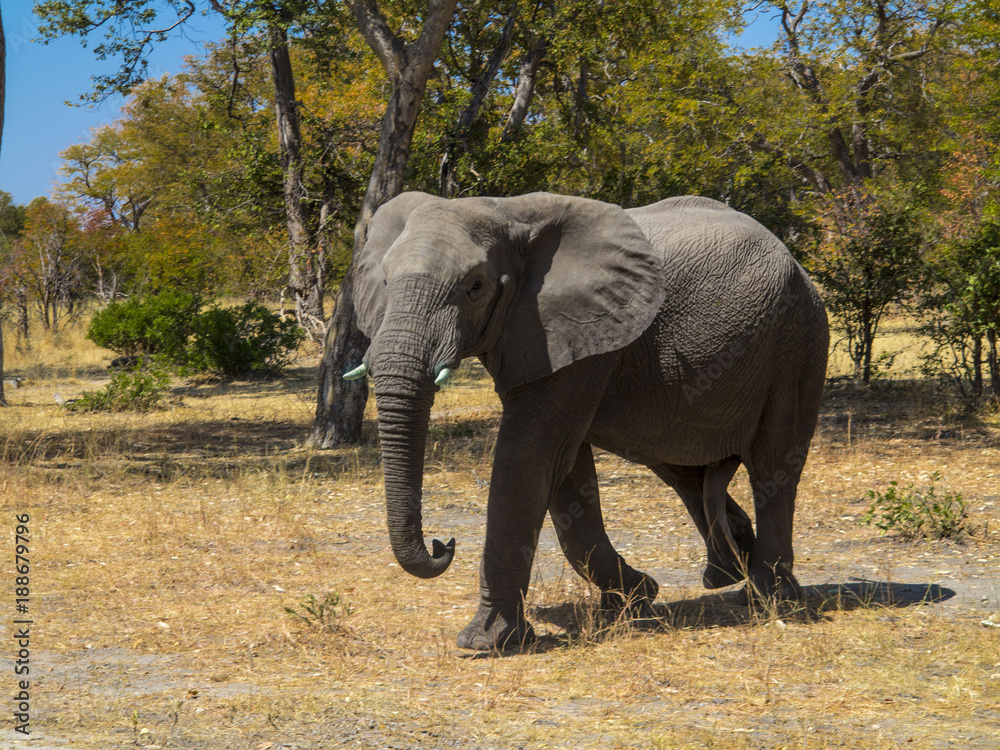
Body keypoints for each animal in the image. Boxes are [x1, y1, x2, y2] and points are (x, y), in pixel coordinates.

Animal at [345, 191, 829, 652]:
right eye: (385, 282)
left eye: (475, 286)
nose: (442, 544)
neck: (505, 211)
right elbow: (564, 475)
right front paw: (635, 598)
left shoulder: (571, 326)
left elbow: (530, 457)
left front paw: (484, 642)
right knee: (681, 468)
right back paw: (725, 572)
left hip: (797, 336)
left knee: (773, 467)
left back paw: (767, 596)